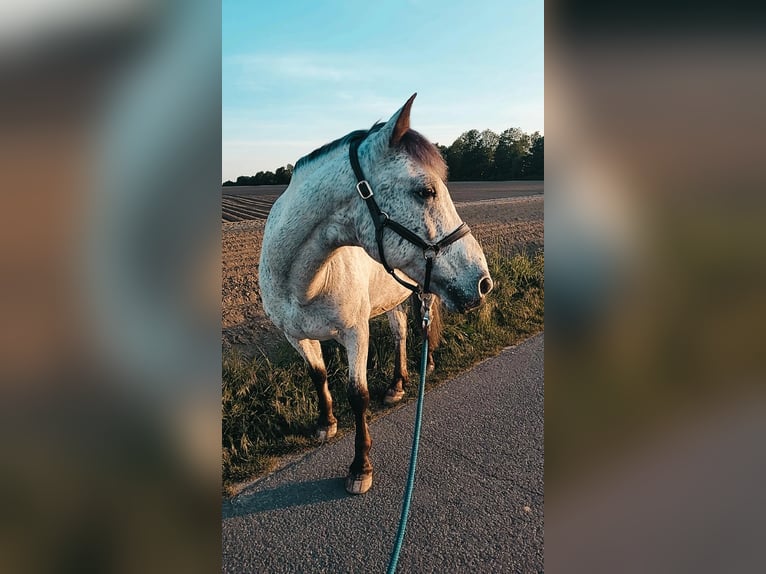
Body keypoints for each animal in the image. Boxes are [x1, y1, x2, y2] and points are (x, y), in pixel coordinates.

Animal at [260, 94, 496, 496]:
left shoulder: (356, 333)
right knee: (400, 332)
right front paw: (326, 424)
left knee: (417, 331)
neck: (302, 282)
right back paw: (397, 385)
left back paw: (424, 367)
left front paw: (360, 467)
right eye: (425, 191)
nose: (482, 283)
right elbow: (318, 375)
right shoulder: (295, 335)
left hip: (422, 293)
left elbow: (358, 395)